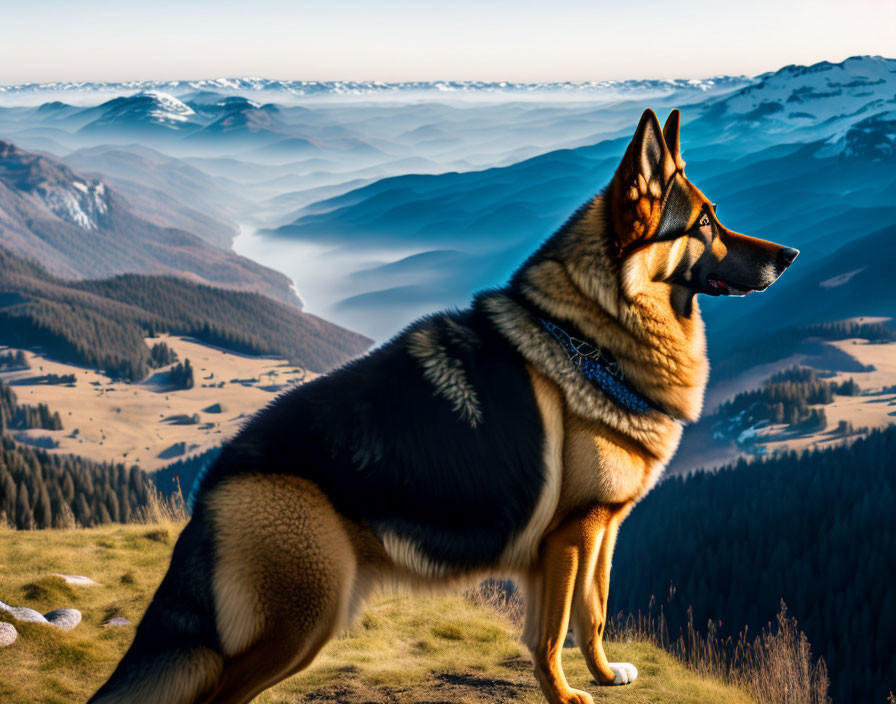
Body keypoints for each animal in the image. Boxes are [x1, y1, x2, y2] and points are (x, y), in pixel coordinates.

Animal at [89, 110, 800, 704]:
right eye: (704, 224)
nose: (791, 255)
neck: (592, 334)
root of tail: (213, 483)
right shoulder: (570, 536)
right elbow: (551, 632)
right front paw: (566, 695)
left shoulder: (601, 529)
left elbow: (593, 612)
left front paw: (603, 673)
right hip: (305, 620)